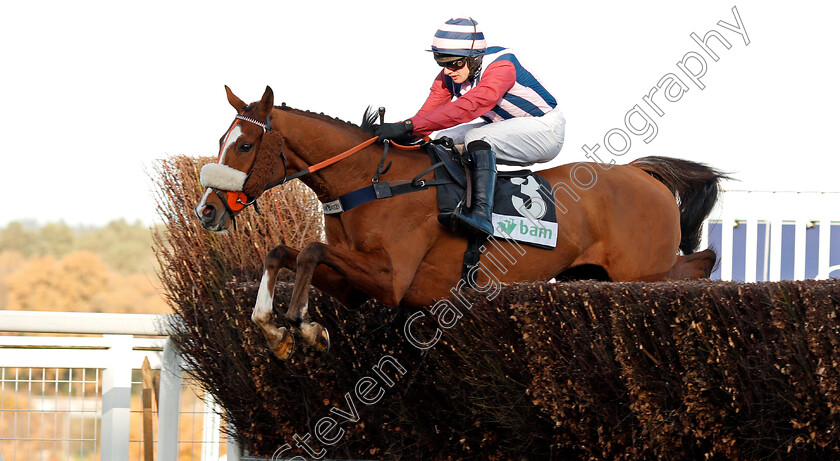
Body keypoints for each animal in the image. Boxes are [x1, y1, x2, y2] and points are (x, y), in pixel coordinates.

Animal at [194, 86, 724, 360]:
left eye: (245, 145)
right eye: (221, 139)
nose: (207, 210)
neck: (371, 181)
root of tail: (642, 173)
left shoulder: (393, 278)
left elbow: (309, 249)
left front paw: (301, 326)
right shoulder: (354, 285)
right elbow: (283, 251)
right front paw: (274, 328)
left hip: (640, 273)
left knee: (701, 262)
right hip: (591, 276)